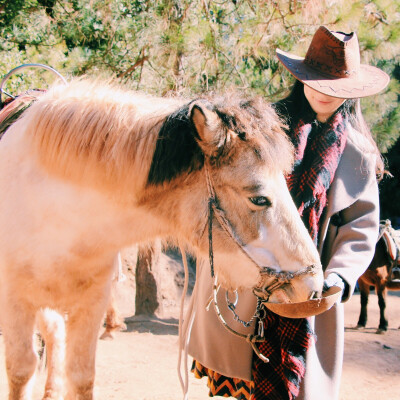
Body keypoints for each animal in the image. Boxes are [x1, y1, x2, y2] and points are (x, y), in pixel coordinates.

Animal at [0, 79, 324, 400]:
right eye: (258, 198)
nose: (314, 284)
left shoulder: (92, 303)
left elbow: (81, 377)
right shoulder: (15, 303)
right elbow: (21, 371)